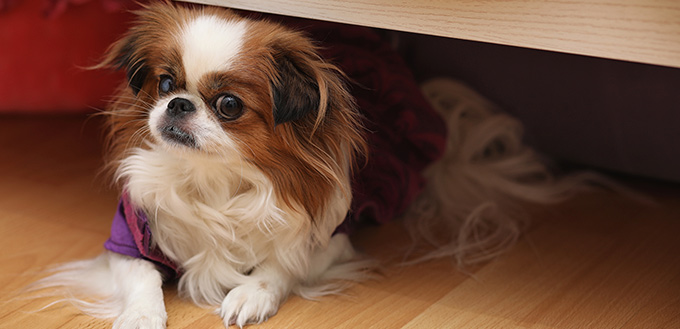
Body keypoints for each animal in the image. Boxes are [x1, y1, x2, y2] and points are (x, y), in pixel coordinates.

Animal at [34, 1, 592, 326]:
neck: (216, 183)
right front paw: (142, 316)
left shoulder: (330, 236)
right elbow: (142, 278)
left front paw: (251, 295)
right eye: (166, 84)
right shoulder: (127, 235)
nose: (177, 105)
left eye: (228, 105)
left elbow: (281, 265)